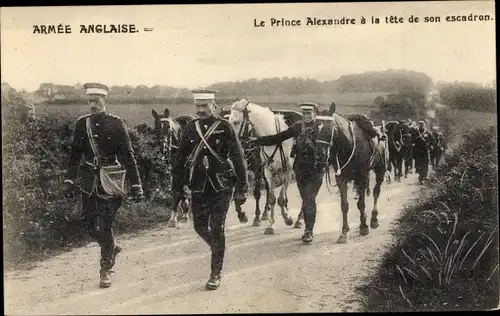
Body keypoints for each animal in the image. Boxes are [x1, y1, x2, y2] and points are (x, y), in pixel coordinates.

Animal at [229, 99, 294, 235]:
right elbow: (271, 197)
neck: (274, 138)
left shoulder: (286, 171)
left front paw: (287, 218)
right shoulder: (266, 171)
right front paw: (269, 224)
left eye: (236, 122)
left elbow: (279, 197)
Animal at [314, 112, 388, 243]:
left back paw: (374, 219)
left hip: (380, 169)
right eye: (315, 128)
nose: (319, 157)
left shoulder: (361, 177)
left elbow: (361, 204)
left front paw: (363, 227)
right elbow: (344, 205)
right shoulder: (341, 179)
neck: (348, 147)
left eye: (329, 128)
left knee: (376, 192)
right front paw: (344, 232)